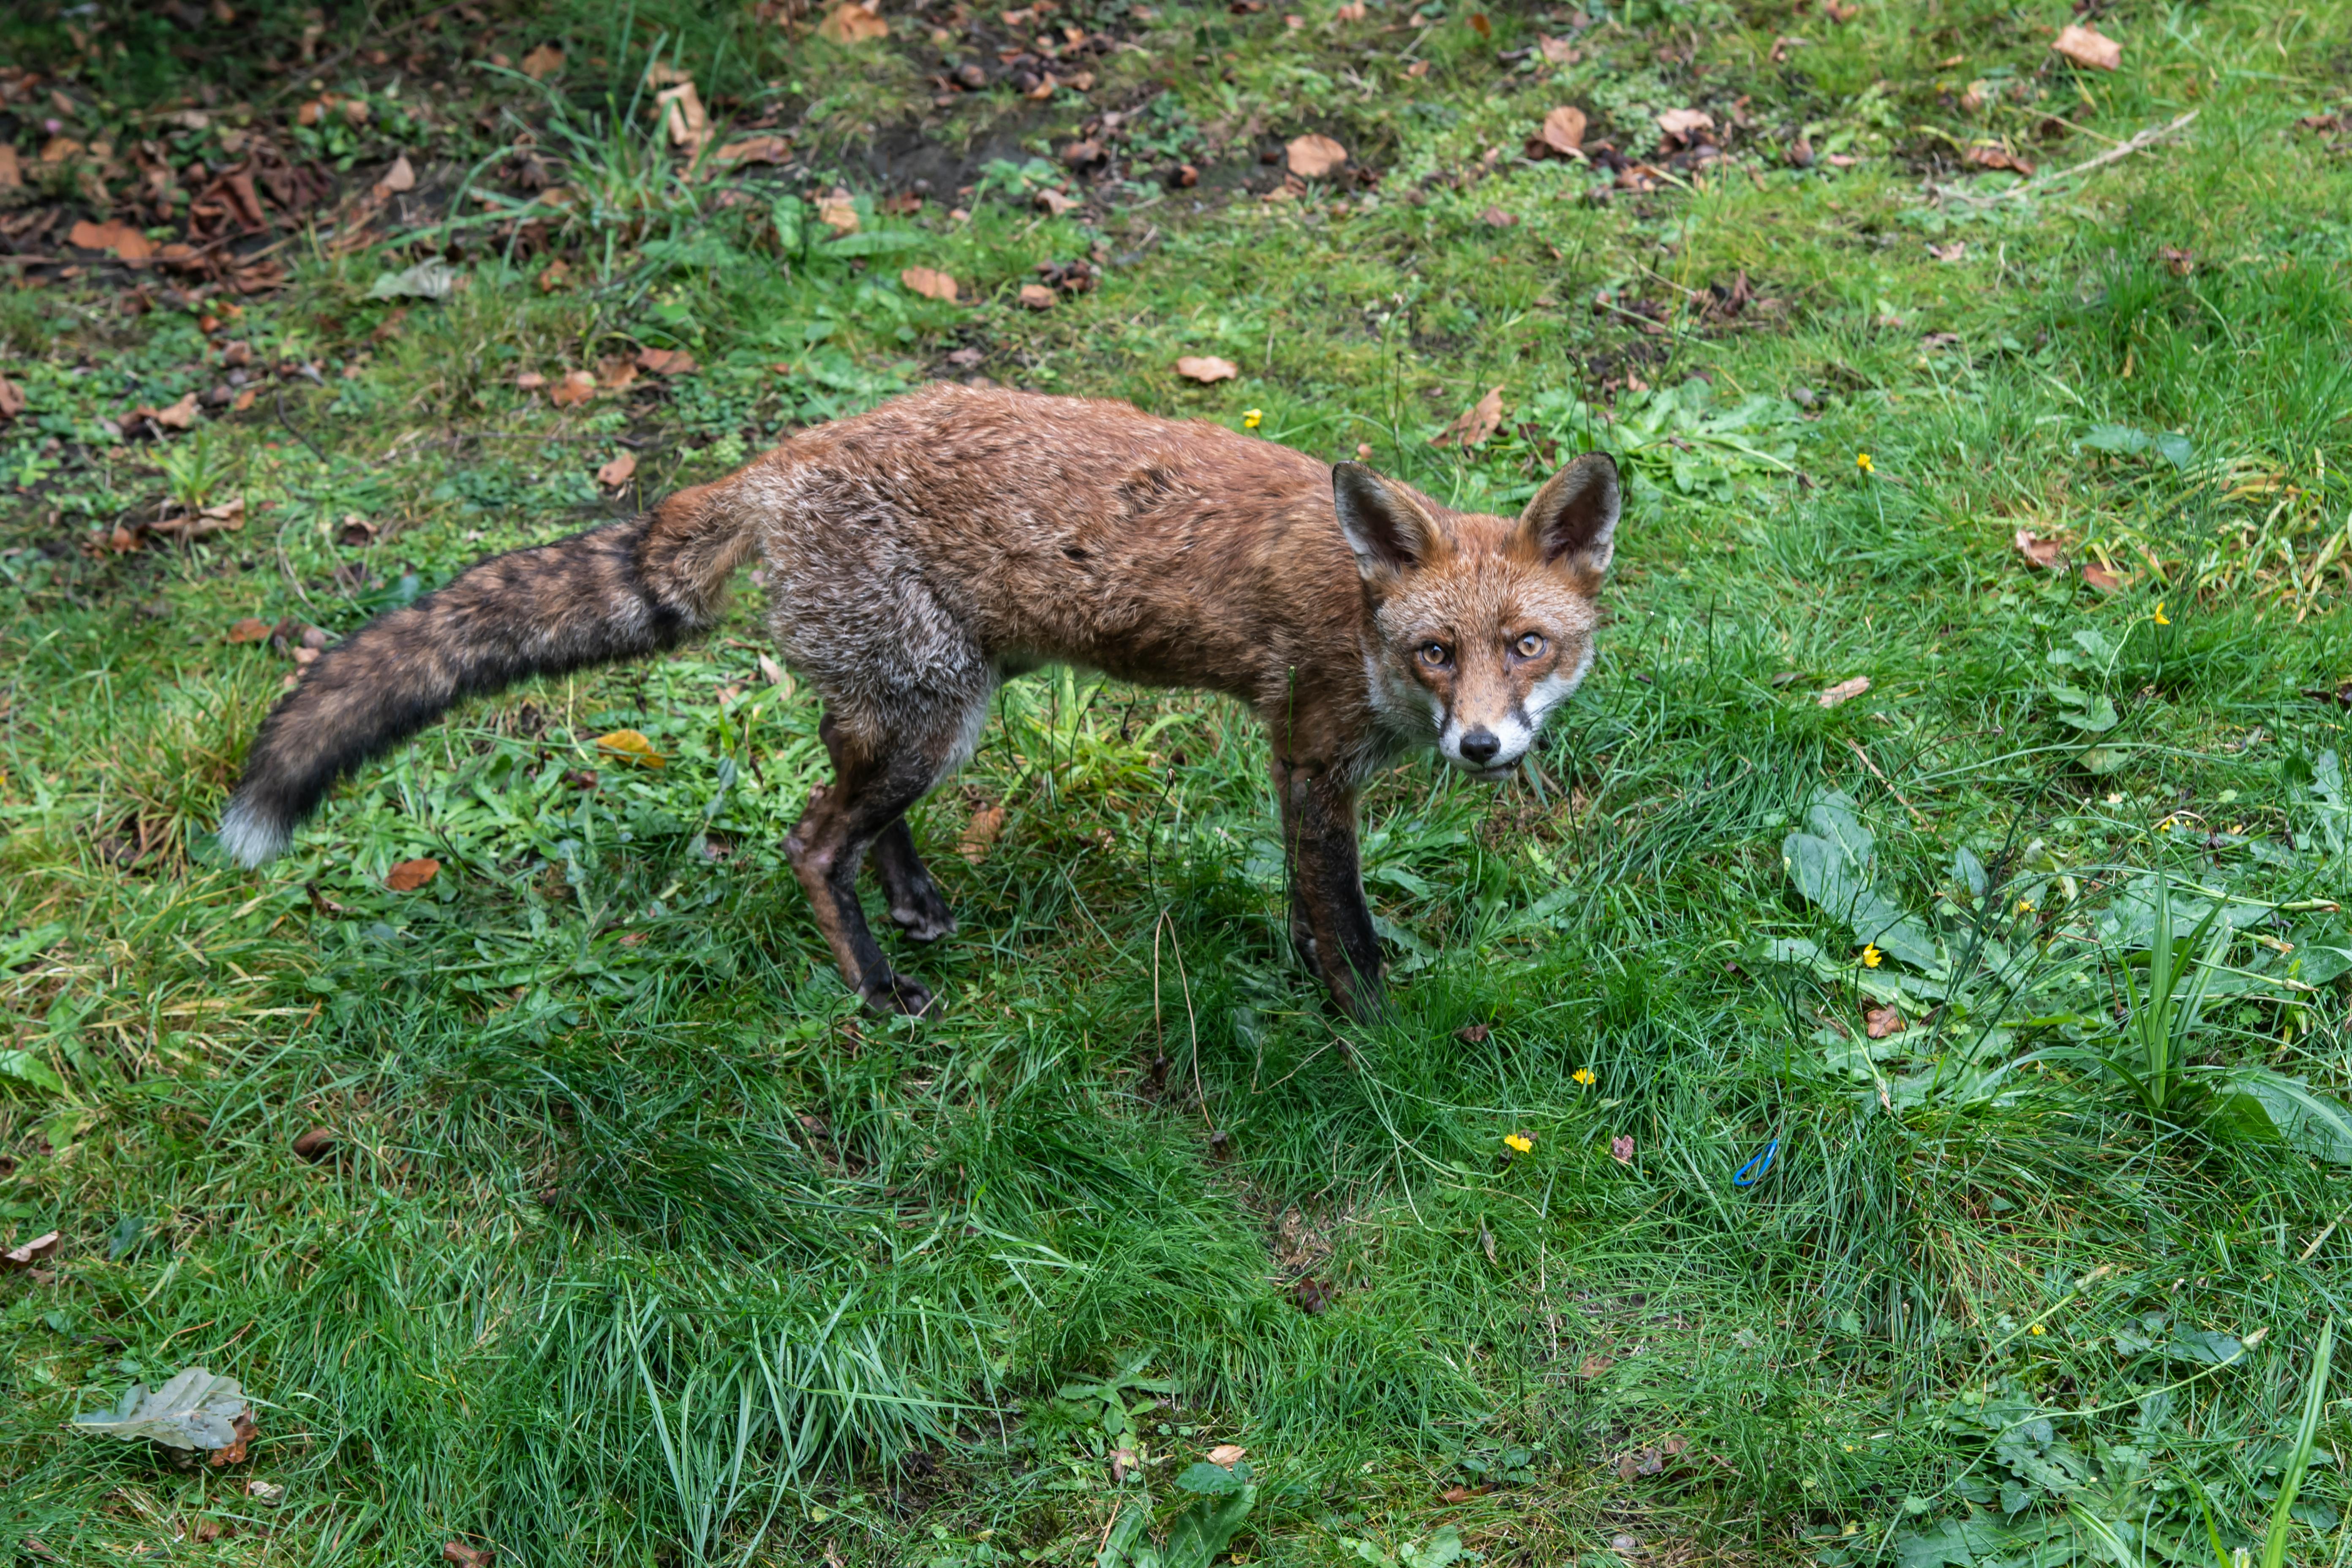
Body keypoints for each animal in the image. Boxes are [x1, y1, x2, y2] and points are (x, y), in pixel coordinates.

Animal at [224, 385, 1618, 1025]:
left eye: (1527, 646)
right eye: (1436, 652)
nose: (1481, 746)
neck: (1355, 613)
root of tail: (777, 462)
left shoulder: (1301, 773)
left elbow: (1301, 903)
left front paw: (1307, 978)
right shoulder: (1310, 757)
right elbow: (1345, 921)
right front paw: (1366, 1030)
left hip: (932, 708)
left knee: (845, 802)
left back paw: (914, 903)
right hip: (933, 717)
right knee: (807, 841)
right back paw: (877, 987)